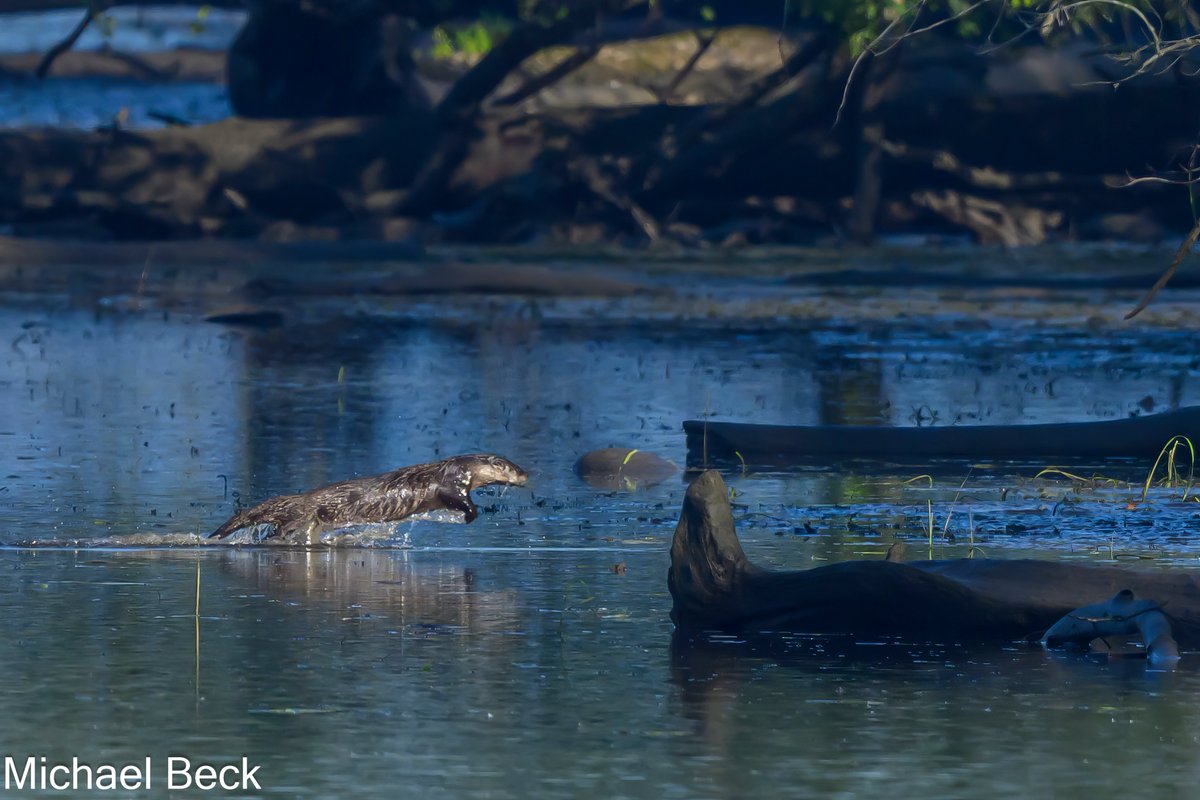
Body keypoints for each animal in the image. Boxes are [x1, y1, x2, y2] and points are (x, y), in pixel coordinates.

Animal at [209, 454, 528, 542]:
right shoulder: (453, 483)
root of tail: (299, 499)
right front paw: (469, 516)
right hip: (301, 515)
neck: (459, 466)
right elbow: (459, 500)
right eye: (513, 467)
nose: (526, 474)